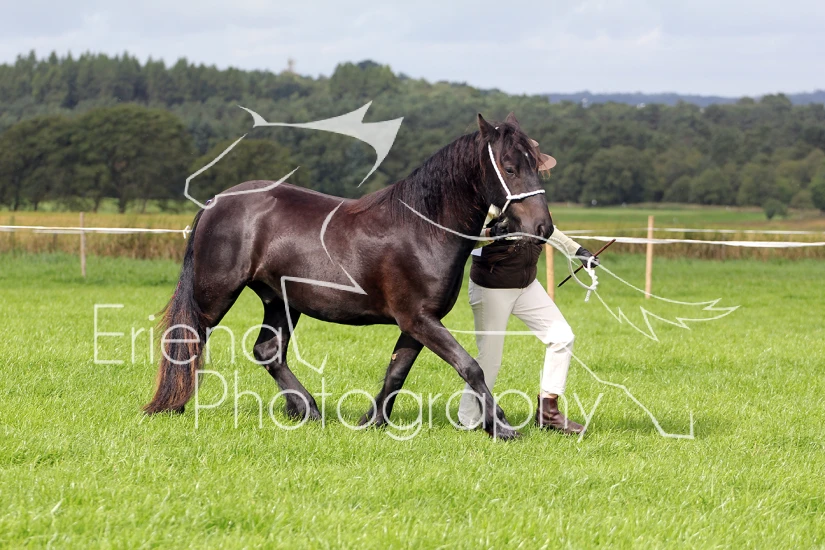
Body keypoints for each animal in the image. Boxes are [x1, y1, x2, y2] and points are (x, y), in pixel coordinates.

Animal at [144, 112, 553, 439]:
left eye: (535, 164)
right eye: (510, 167)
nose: (543, 227)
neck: (423, 229)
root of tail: (216, 202)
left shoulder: (417, 323)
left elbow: (397, 372)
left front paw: (372, 421)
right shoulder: (420, 319)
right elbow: (470, 367)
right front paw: (501, 427)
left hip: (280, 300)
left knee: (269, 352)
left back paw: (307, 409)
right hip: (216, 295)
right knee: (188, 340)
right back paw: (172, 405)